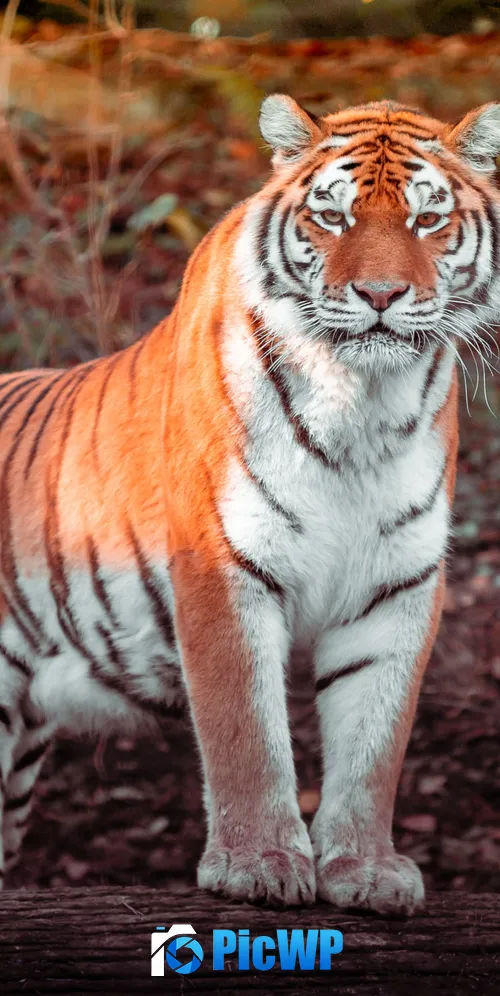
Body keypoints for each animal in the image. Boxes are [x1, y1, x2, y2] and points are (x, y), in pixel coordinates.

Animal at [0, 96, 498, 914]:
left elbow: (375, 744)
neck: (361, 407)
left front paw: (365, 869)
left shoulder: (397, 584)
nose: (381, 297)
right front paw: (257, 863)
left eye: (428, 220)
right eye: (333, 217)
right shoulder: (221, 564)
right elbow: (246, 735)